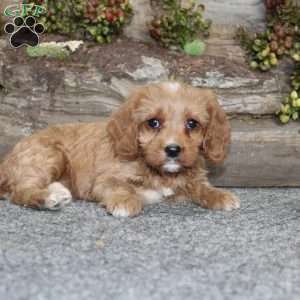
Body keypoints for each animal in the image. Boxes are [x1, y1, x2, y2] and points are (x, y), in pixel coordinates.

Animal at [0, 82, 239, 217]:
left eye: (192, 124)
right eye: (153, 123)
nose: (172, 150)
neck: (160, 173)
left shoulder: (194, 178)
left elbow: (202, 187)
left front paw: (220, 195)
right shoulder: (105, 180)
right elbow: (120, 187)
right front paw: (125, 202)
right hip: (49, 155)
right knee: (20, 192)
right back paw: (48, 198)